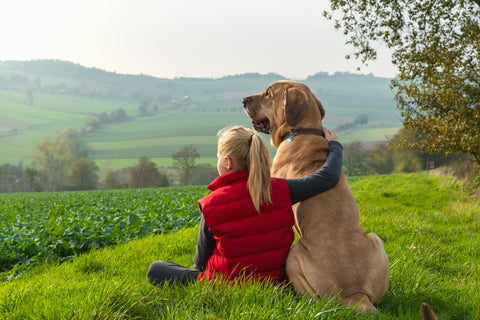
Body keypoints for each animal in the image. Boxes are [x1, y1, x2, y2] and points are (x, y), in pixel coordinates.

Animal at [244, 80, 390, 312]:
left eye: (268, 94)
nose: (243, 100)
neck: (302, 130)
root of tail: (355, 294)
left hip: (293, 255)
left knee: (311, 298)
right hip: (377, 239)